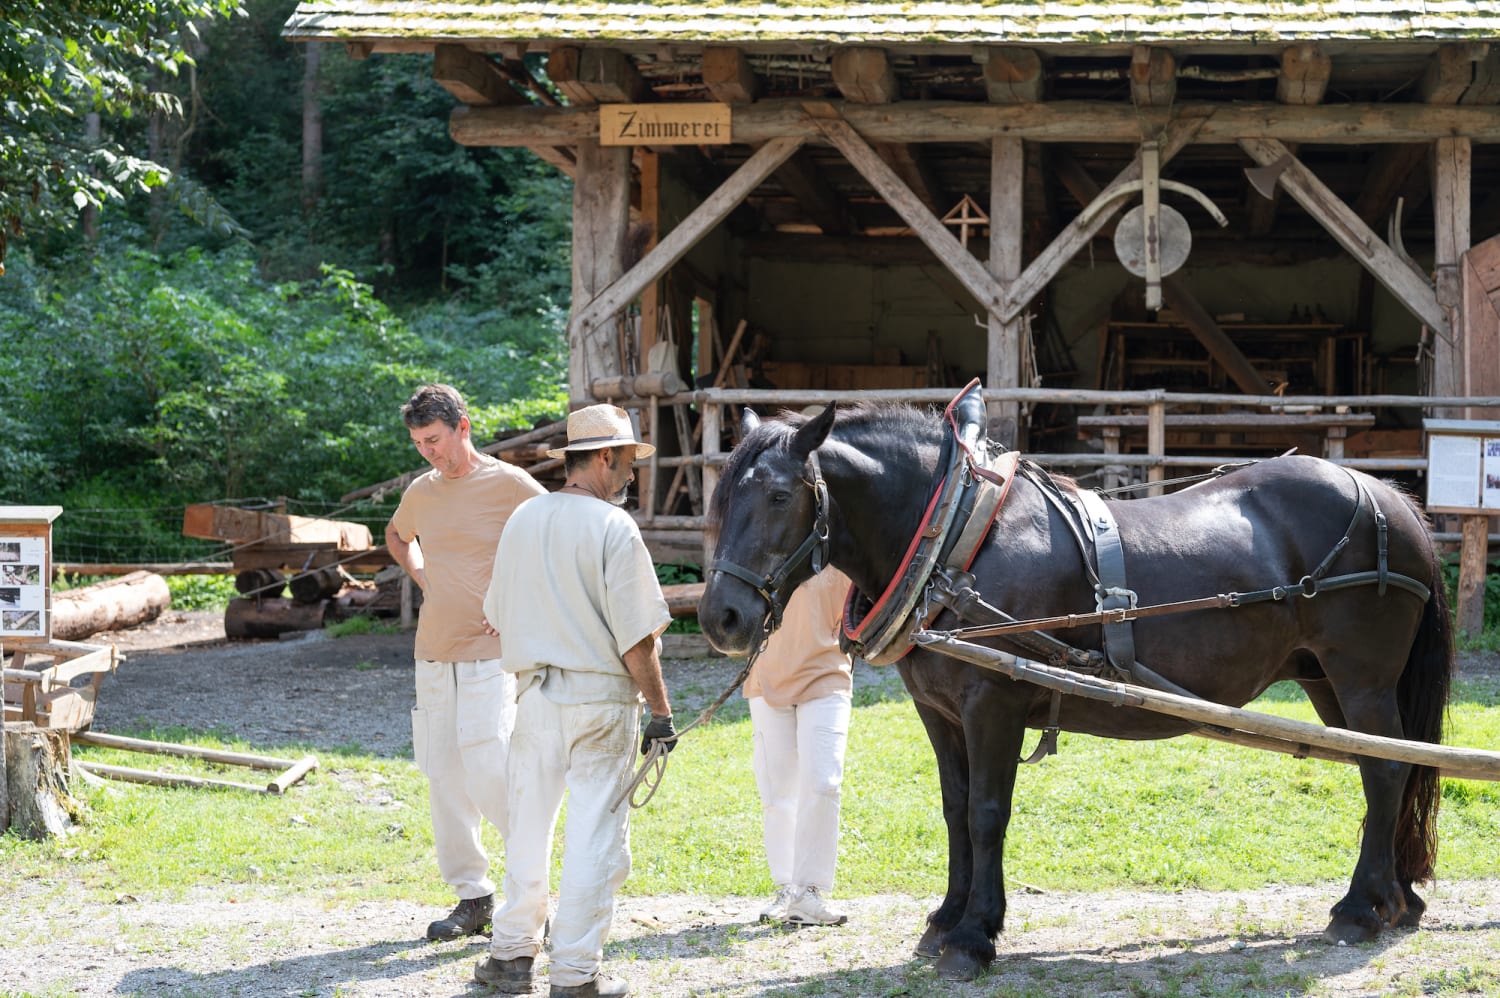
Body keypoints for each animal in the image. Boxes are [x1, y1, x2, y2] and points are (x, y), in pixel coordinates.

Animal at [702, 402, 1452, 978]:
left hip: (1361, 676)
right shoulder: (939, 712)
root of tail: (1391, 499)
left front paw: (973, 937)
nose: (722, 617)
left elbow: (986, 813)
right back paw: (1396, 900)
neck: (958, 541)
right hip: (1325, 680)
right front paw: (945, 920)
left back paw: (1360, 908)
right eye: (721, 498)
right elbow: (954, 811)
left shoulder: (994, 704)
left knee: (1387, 770)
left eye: (778, 496)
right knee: (1386, 769)